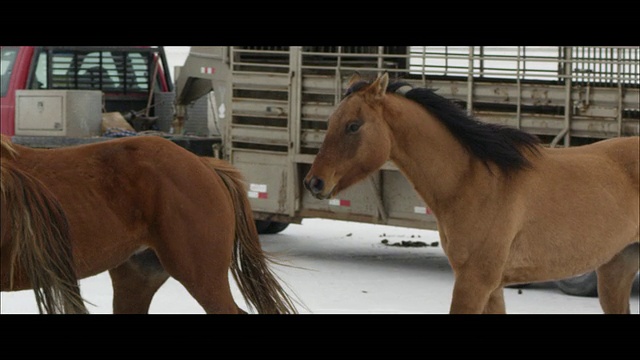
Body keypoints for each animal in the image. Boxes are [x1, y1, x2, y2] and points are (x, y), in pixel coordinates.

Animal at [306, 74, 640, 316]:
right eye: (330, 123)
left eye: (353, 126)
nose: (314, 182)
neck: (474, 181)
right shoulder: (492, 287)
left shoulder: (474, 282)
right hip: (615, 269)